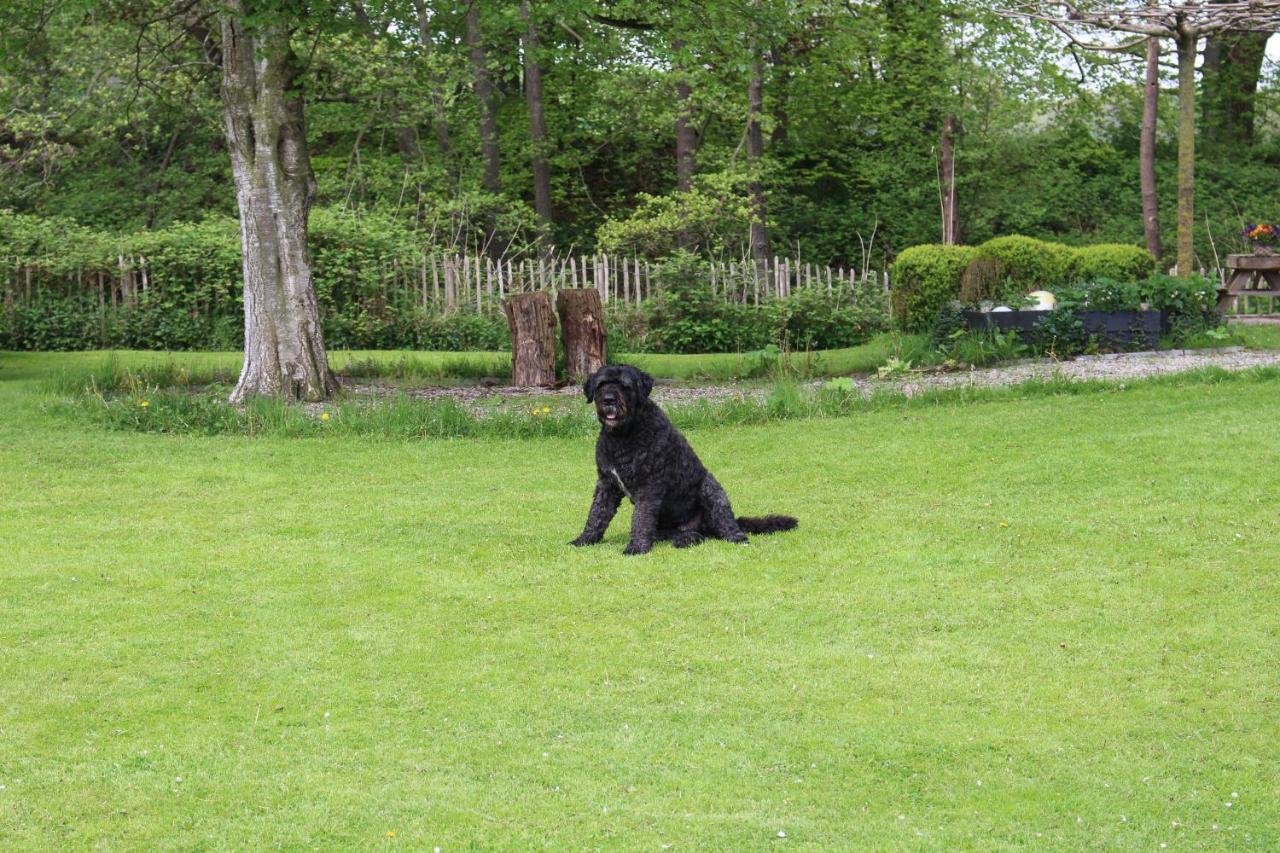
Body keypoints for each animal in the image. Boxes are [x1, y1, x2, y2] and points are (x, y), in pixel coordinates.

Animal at [568, 363, 788, 550]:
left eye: (625, 385)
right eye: (601, 384)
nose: (608, 400)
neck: (622, 436)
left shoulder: (648, 487)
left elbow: (640, 518)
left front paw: (636, 547)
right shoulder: (606, 484)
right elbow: (597, 514)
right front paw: (584, 539)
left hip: (712, 489)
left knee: (725, 524)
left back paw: (736, 537)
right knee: (695, 536)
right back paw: (686, 539)